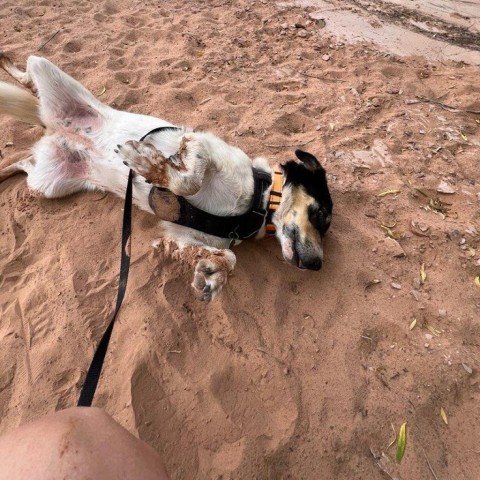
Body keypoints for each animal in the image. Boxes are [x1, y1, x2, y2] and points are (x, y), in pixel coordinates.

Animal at [0, 55, 332, 300]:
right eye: (321, 215)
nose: (317, 265)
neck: (256, 201)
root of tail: (53, 127)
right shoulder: (200, 145)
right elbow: (187, 179)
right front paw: (147, 163)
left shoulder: (184, 234)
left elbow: (227, 258)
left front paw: (209, 274)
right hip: (45, 70)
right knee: (27, 73)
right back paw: (8, 64)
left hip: (47, 182)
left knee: (22, 163)